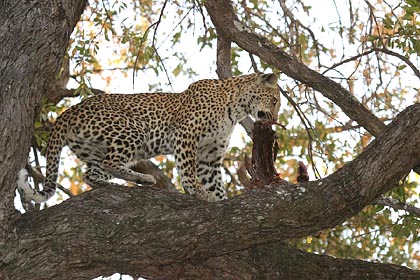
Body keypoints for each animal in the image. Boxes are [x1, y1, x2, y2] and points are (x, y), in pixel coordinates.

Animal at [17, 73, 278, 202]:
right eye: (275, 100)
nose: (274, 118)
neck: (236, 108)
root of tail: (68, 111)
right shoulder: (186, 135)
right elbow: (188, 171)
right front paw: (198, 192)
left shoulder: (209, 156)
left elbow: (213, 181)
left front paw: (220, 199)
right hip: (133, 129)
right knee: (109, 163)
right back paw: (144, 179)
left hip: (93, 148)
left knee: (91, 173)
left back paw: (119, 184)